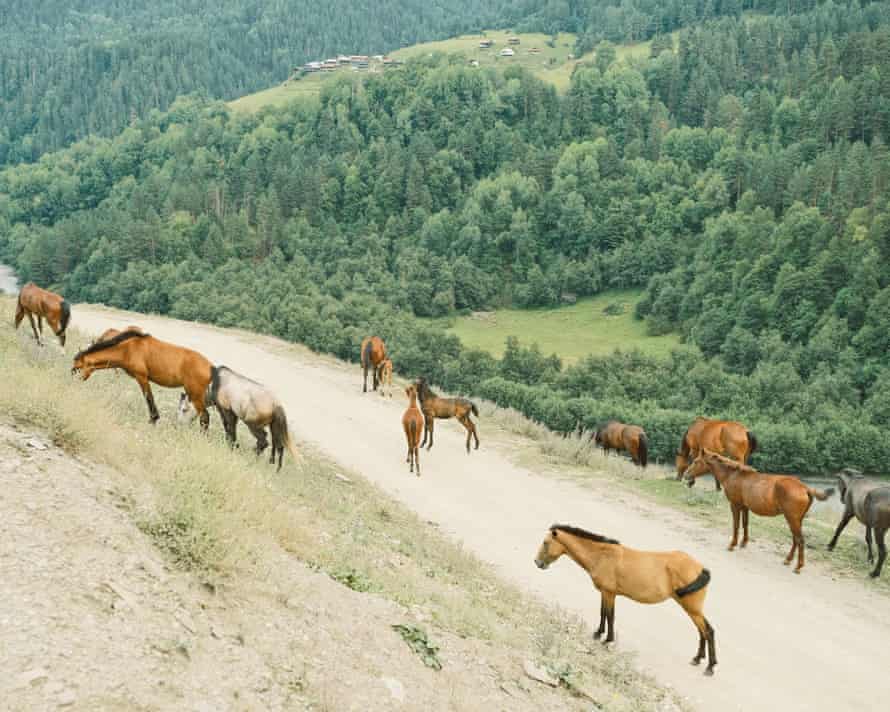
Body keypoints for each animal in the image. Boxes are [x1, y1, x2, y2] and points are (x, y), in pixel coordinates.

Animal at [72, 330, 212, 428]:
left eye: (78, 367)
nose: (72, 379)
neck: (127, 349)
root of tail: (211, 367)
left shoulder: (142, 377)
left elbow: (149, 398)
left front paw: (153, 419)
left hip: (195, 394)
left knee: (205, 416)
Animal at [536, 524, 716, 676]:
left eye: (545, 543)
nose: (537, 562)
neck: (602, 555)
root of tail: (701, 568)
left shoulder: (609, 593)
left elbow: (609, 616)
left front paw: (607, 640)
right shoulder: (606, 593)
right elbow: (603, 613)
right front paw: (598, 634)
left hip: (691, 607)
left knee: (708, 630)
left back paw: (710, 666)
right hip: (691, 607)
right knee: (702, 631)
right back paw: (697, 658)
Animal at [680, 450, 832, 572]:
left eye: (696, 461)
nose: (686, 475)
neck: (733, 475)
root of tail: (805, 488)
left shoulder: (735, 505)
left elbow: (736, 525)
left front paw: (732, 544)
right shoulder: (745, 507)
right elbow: (745, 524)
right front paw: (743, 543)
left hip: (792, 519)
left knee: (800, 540)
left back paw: (798, 566)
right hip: (797, 520)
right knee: (796, 539)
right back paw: (788, 560)